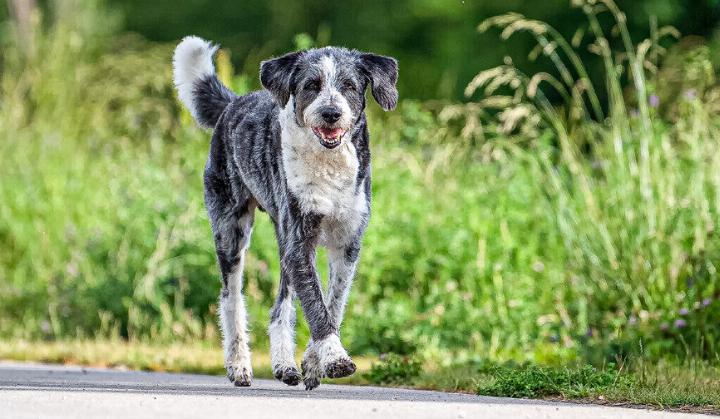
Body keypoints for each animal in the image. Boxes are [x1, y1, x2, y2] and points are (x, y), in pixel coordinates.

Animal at [173, 36, 400, 390]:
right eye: (311, 85)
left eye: (349, 85)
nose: (331, 113)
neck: (328, 165)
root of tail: (232, 104)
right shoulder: (300, 242)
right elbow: (316, 305)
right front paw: (336, 358)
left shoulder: (347, 244)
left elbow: (332, 303)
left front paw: (314, 362)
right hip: (231, 231)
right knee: (231, 297)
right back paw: (239, 365)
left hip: (282, 241)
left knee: (281, 304)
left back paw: (284, 365)